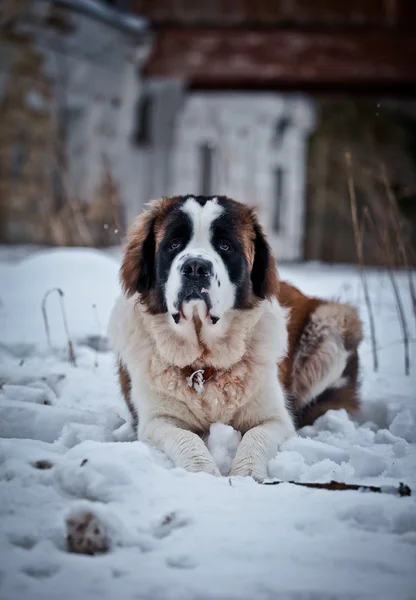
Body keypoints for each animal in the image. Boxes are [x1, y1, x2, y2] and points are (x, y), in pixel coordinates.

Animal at [109, 195, 362, 480]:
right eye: (173, 244)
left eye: (225, 246)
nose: (195, 267)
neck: (204, 366)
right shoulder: (156, 420)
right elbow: (186, 438)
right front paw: (204, 473)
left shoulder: (275, 419)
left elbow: (256, 436)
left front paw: (246, 474)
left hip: (333, 320)